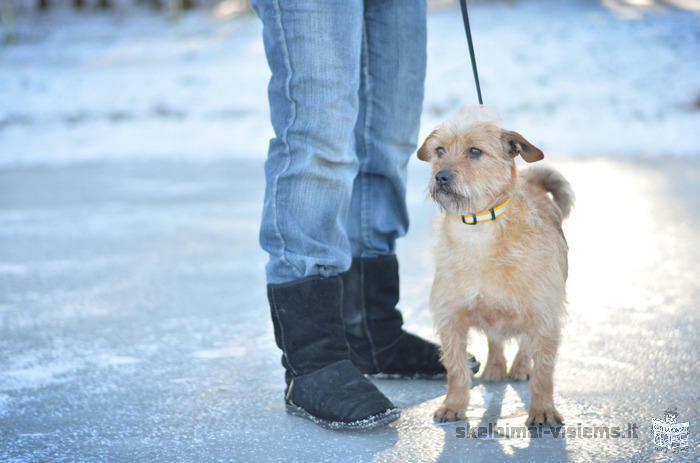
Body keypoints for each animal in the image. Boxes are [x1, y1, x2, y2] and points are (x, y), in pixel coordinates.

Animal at [416, 107, 576, 426]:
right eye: (439, 150)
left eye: (475, 151)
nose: (441, 176)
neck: (478, 230)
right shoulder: (451, 317)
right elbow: (456, 368)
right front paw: (454, 404)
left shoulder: (545, 315)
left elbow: (543, 372)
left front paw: (543, 410)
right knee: (495, 339)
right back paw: (495, 368)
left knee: (524, 344)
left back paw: (519, 367)